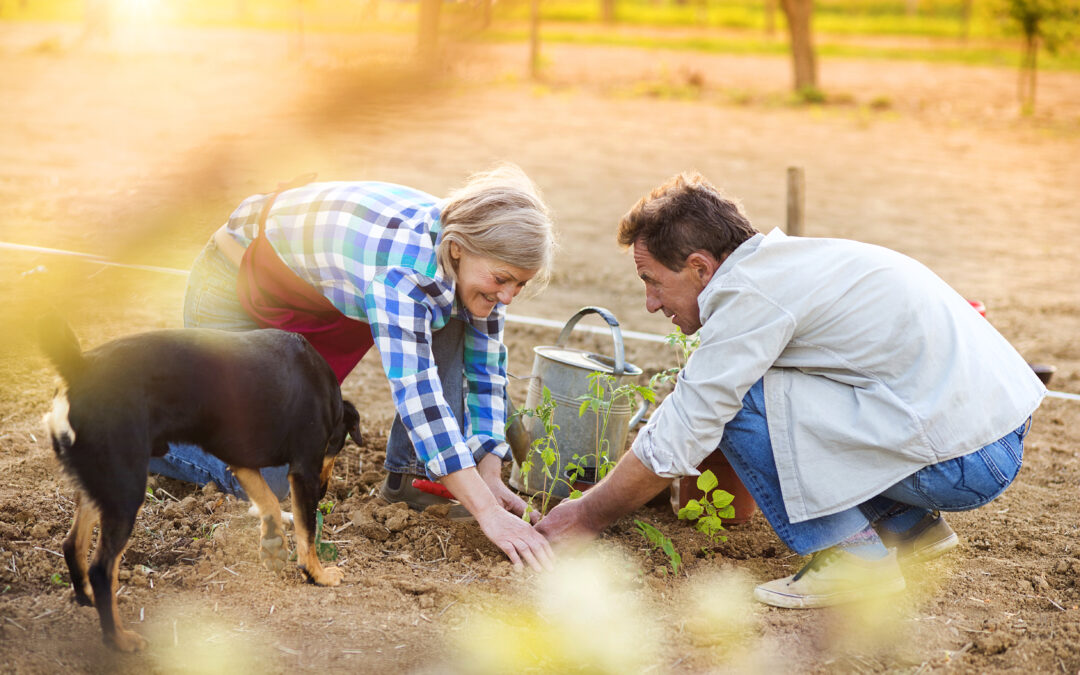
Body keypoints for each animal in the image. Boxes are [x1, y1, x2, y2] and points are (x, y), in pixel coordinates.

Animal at [39, 317, 358, 652]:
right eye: (338, 446)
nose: (324, 491)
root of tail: (79, 366)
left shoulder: (238, 458)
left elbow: (268, 501)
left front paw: (273, 542)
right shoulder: (305, 469)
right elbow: (306, 530)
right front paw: (317, 574)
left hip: (103, 484)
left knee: (72, 544)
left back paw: (86, 598)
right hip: (125, 489)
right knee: (101, 569)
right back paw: (119, 639)